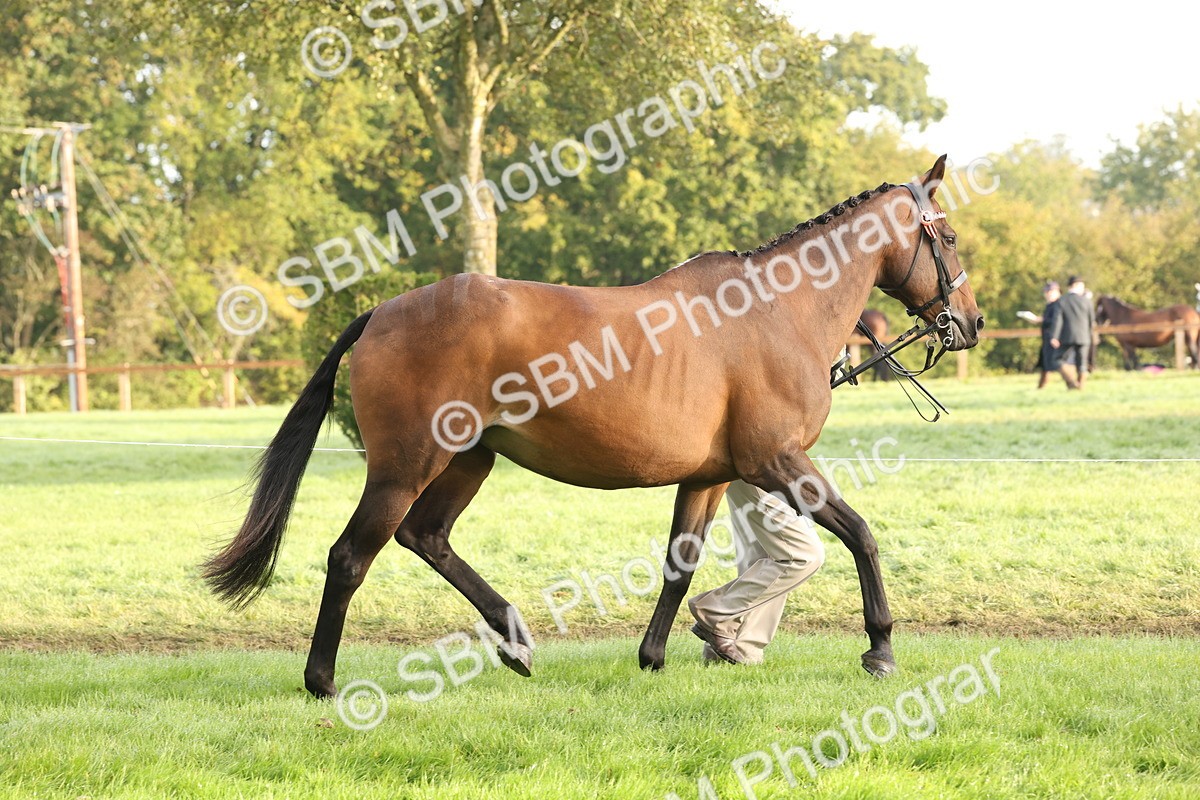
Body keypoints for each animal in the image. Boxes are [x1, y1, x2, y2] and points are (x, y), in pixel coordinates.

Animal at [202, 156, 984, 699]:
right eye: (946, 235)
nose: (970, 322)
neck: (775, 310)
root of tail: (383, 312)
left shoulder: (709, 477)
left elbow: (679, 566)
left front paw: (656, 656)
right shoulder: (777, 462)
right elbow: (861, 535)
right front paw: (880, 647)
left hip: (467, 461)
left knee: (427, 538)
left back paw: (515, 639)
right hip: (405, 465)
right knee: (350, 557)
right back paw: (324, 681)